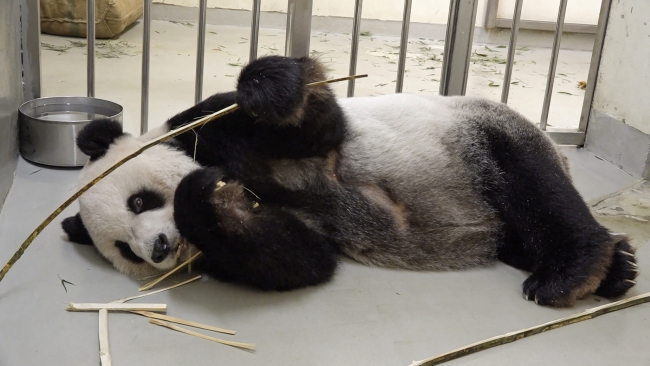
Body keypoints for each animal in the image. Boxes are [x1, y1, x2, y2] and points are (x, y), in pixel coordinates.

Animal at [62, 54, 636, 306]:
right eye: (127, 251)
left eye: (139, 201)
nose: (159, 247)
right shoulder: (253, 243)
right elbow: (297, 257)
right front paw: (211, 203)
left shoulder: (213, 129)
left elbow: (316, 125)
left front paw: (267, 87)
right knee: (522, 229)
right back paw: (617, 269)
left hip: (482, 137)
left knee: (536, 190)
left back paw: (573, 271)